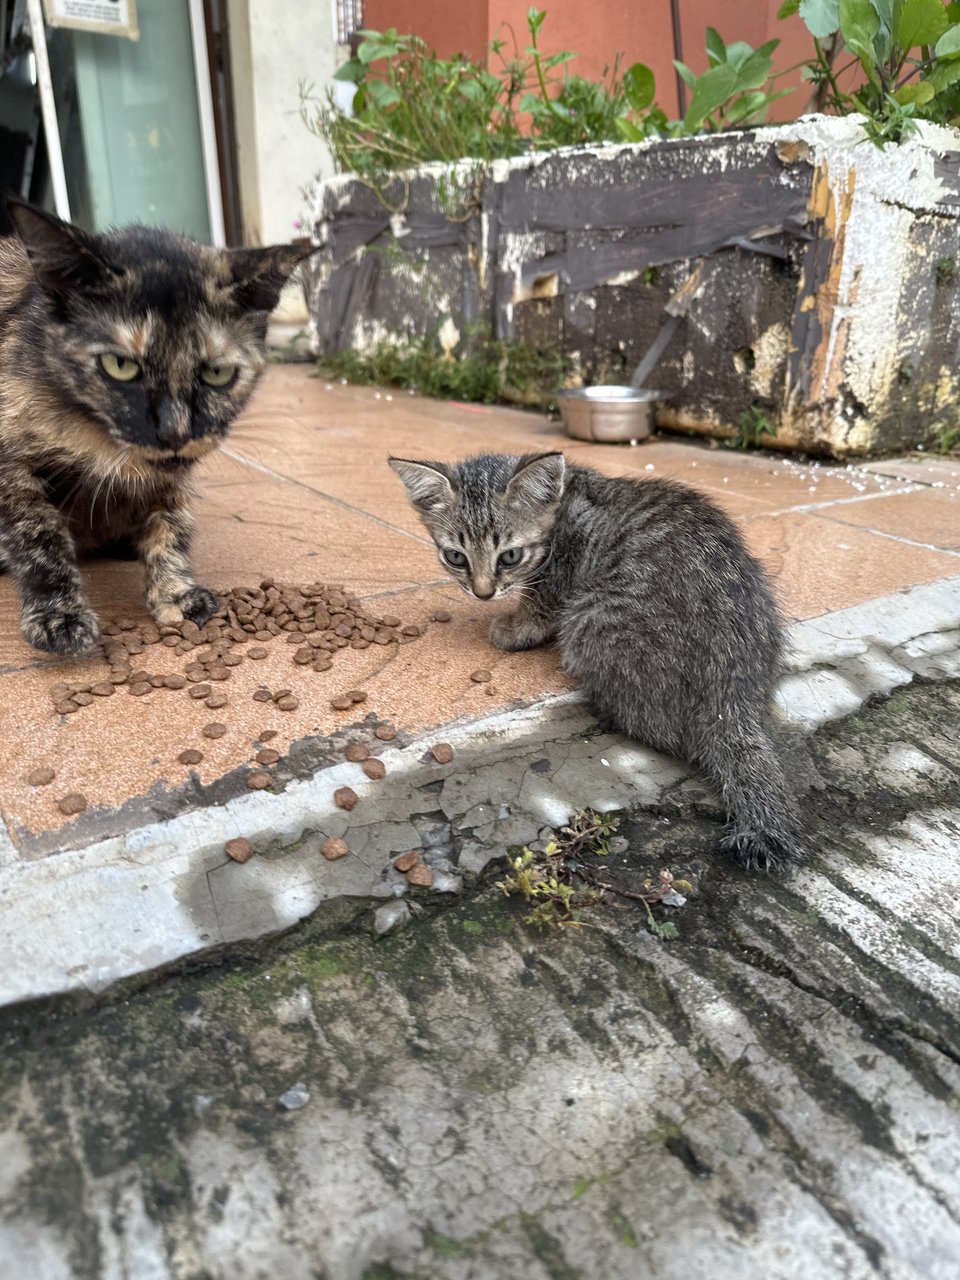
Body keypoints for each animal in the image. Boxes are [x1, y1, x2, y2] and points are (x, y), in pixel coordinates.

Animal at [0, 206, 316, 660]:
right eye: (120, 365)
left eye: (217, 373)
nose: (174, 431)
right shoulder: (10, 464)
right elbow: (37, 535)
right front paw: (59, 615)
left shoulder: (173, 474)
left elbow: (172, 524)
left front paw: (176, 593)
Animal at [391, 450, 803, 870]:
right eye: (455, 557)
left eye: (510, 556)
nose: (483, 593)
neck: (565, 495)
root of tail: (731, 694)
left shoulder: (562, 569)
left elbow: (539, 609)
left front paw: (513, 628)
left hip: (589, 619)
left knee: (656, 724)